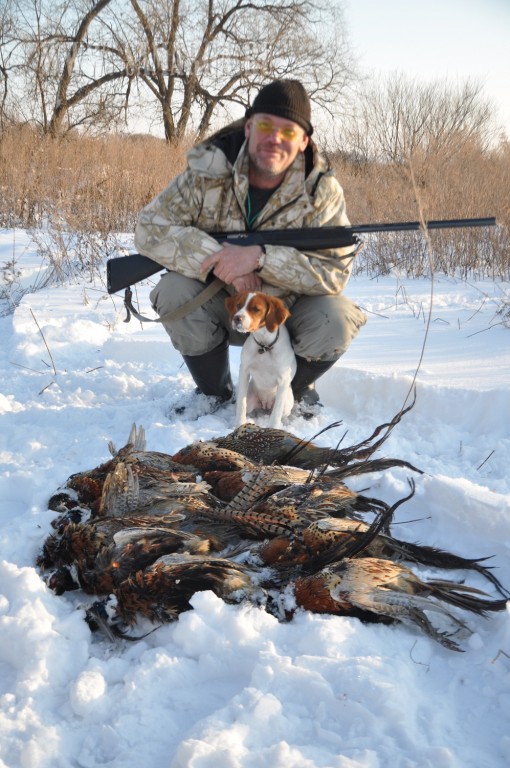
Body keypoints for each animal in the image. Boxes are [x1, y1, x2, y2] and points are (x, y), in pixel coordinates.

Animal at [225, 291, 297, 428]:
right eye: (238, 305)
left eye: (256, 309)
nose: (236, 318)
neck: (264, 346)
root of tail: (265, 404)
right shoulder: (244, 370)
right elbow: (241, 404)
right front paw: (239, 425)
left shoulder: (283, 380)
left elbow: (276, 413)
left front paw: (274, 429)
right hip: (251, 398)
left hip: (287, 403)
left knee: (280, 412)